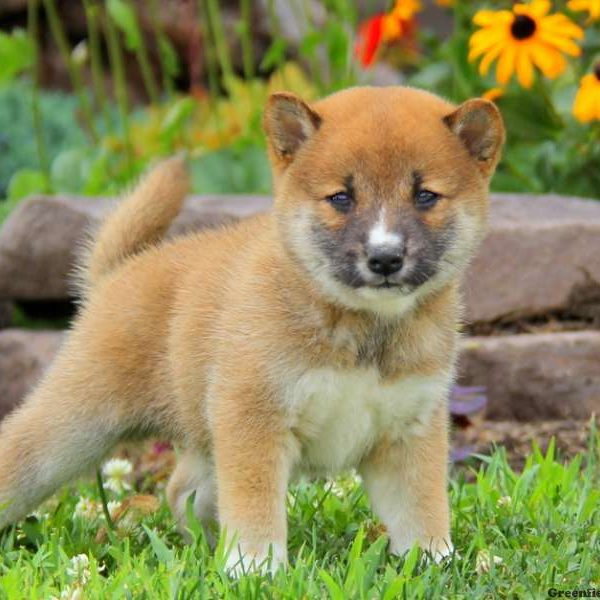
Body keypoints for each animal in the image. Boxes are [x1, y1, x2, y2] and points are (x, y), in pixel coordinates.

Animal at [0, 86, 504, 576]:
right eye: (341, 198)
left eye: (425, 196)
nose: (384, 258)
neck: (360, 328)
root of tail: (119, 272)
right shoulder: (253, 417)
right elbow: (255, 502)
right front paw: (256, 566)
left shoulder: (409, 430)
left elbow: (419, 509)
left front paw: (435, 561)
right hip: (70, 427)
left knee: (182, 490)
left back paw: (202, 548)